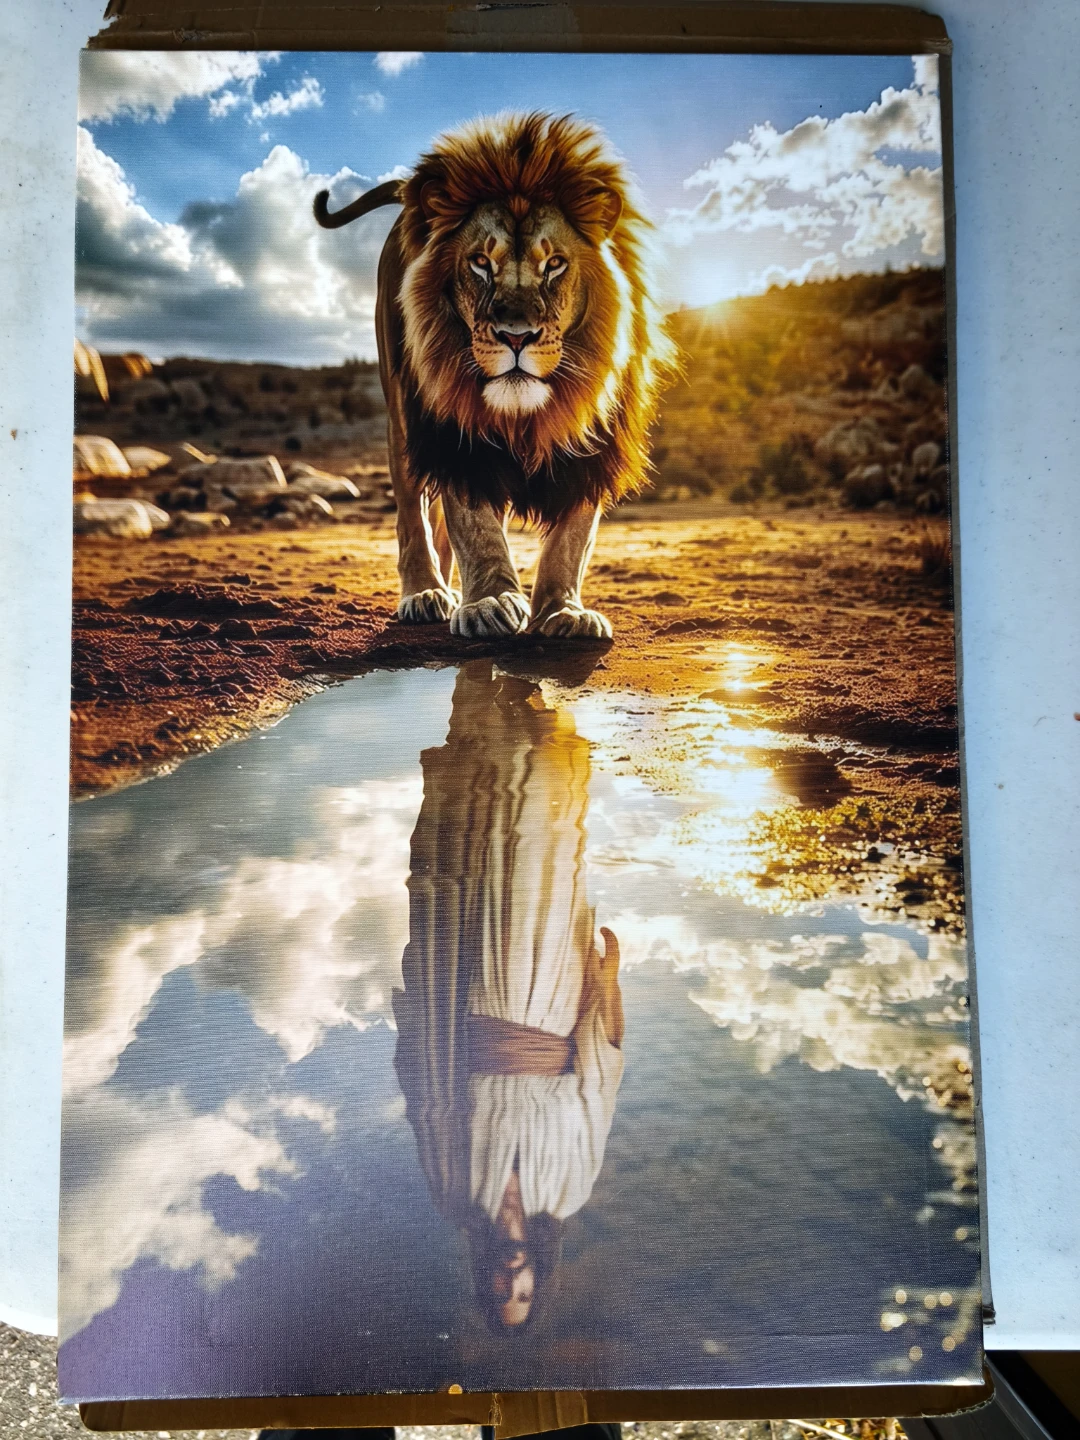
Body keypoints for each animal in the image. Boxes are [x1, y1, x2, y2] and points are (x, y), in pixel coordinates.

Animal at [314, 111, 675, 639]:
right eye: (481, 263)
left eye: (555, 264)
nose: (516, 337)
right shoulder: (452, 430)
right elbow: (474, 525)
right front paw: (488, 602)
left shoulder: (595, 442)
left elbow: (572, 538)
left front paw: (564, 610)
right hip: (403, 416)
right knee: (413, 515)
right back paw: (426, 593)